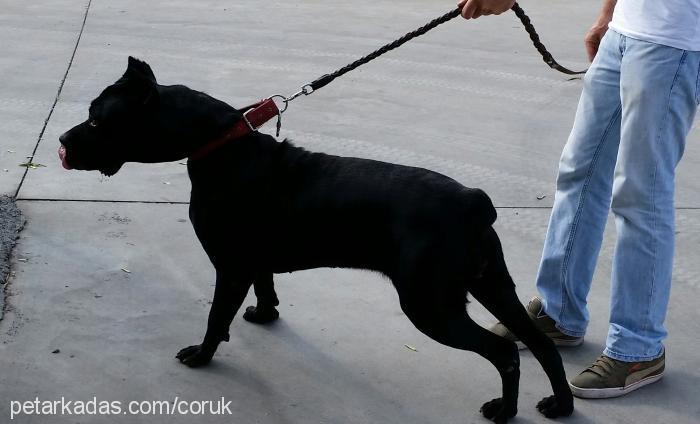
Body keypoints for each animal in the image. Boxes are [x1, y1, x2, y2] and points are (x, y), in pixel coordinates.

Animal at [58, 58, 576, 422]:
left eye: (98, 120)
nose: (63, 140)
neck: (218, 146)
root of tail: (474, 201)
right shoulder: (254, 263)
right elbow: (266, 285)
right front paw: (264, 314)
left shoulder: (229, 268)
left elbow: (214, 316)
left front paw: (202, 355)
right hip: (492, 286)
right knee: (540, 345)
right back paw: (560, 405)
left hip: (430, 305)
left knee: (505, 354)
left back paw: (504, 411)